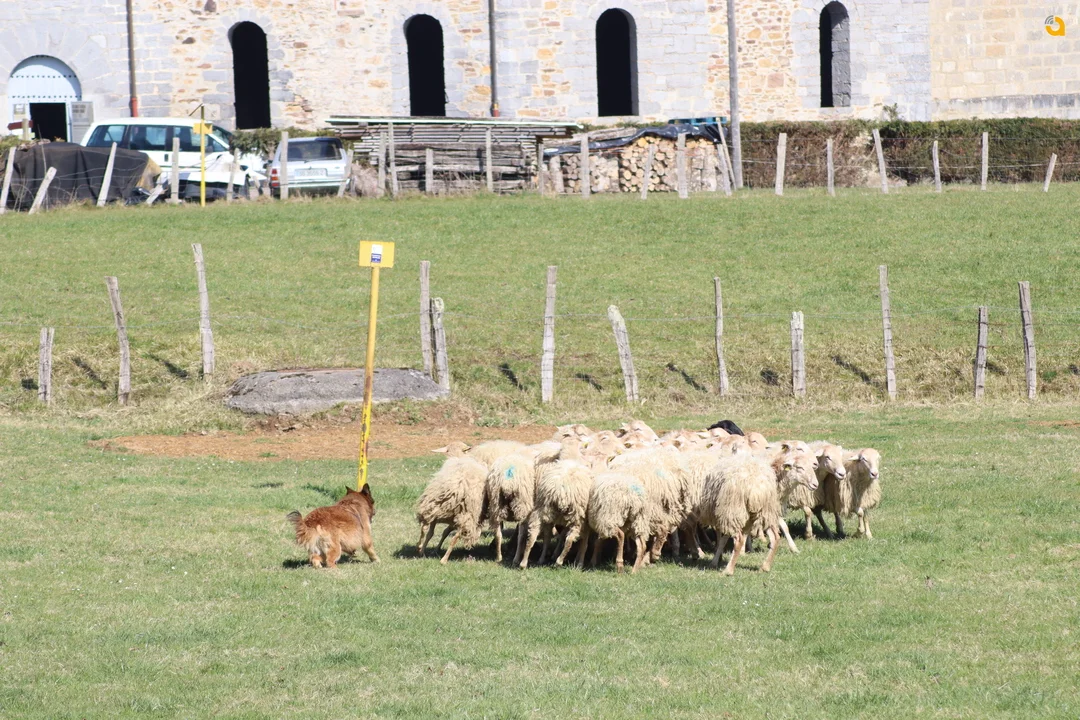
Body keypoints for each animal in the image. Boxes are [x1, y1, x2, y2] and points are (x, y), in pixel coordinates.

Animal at [518, 437, 594, 569]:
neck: (571, 456)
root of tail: (561, 491)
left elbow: (552, 535)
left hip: (542, 509)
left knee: (532, 536)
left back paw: (524, 562)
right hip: (576, 515)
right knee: (570, 539)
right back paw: (559, 561)